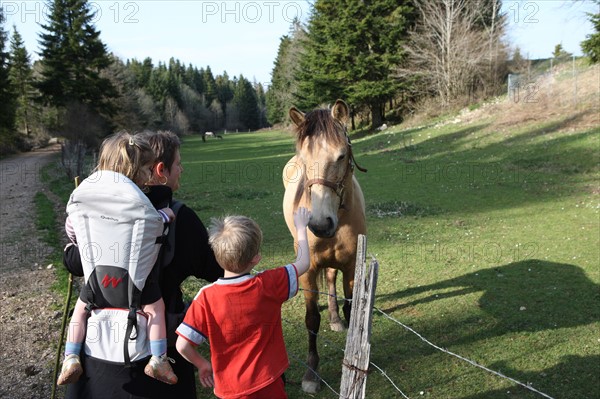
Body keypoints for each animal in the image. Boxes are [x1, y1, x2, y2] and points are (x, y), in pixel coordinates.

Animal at [284, 100, 368, 394]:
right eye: (304, 160)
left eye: (341, 156)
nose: (320, 225)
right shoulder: (309, 271)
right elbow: (311, 320)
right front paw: (311, 374)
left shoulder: (352, 266)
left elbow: (351, 309)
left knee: (331, 279)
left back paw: (334, 317)